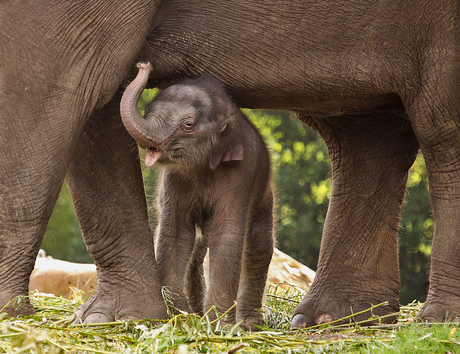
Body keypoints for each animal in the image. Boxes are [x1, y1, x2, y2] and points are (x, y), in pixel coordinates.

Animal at [120, 63, 274, 330]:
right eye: (148, 110)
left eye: (188, 125)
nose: (143, 65)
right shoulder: (174, 181)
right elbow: (175, 231)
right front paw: (181, 316)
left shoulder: (241, 175)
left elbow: (227, 236)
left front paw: (219, 324)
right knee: (198, 248)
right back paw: (197, 311)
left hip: (264, 196)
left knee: (258, 246)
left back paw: (250, 324)